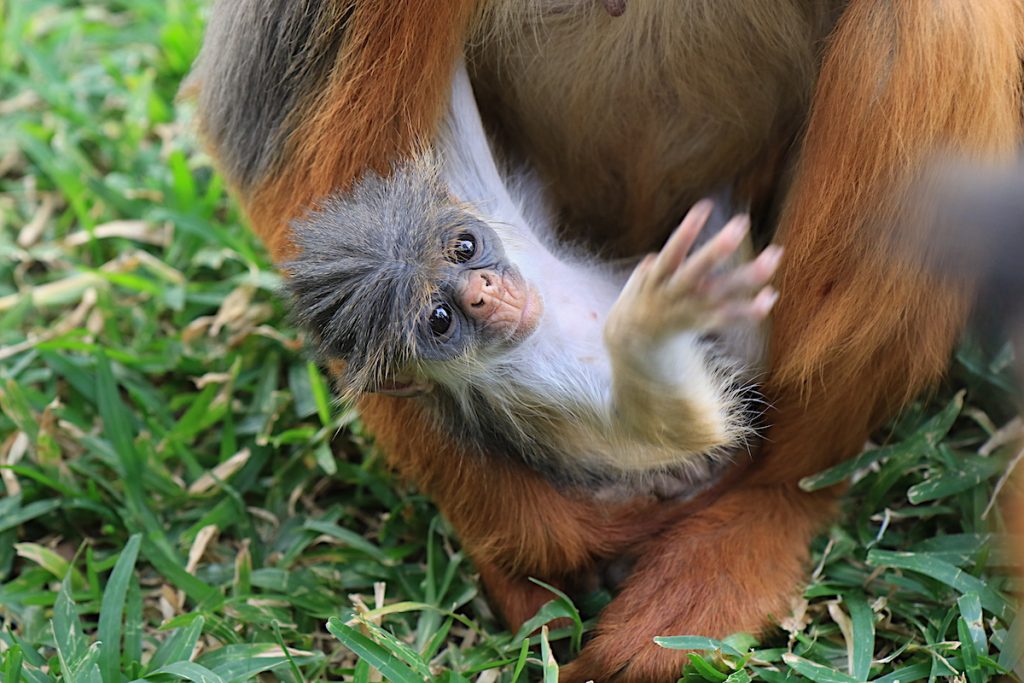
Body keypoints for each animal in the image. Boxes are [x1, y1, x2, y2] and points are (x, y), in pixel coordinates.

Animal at [284, 61, 778, 491]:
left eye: (464, 248)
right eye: (440, 319)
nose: (484, 292)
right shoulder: (530, 391)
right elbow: (687, 428)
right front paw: (651, 321)